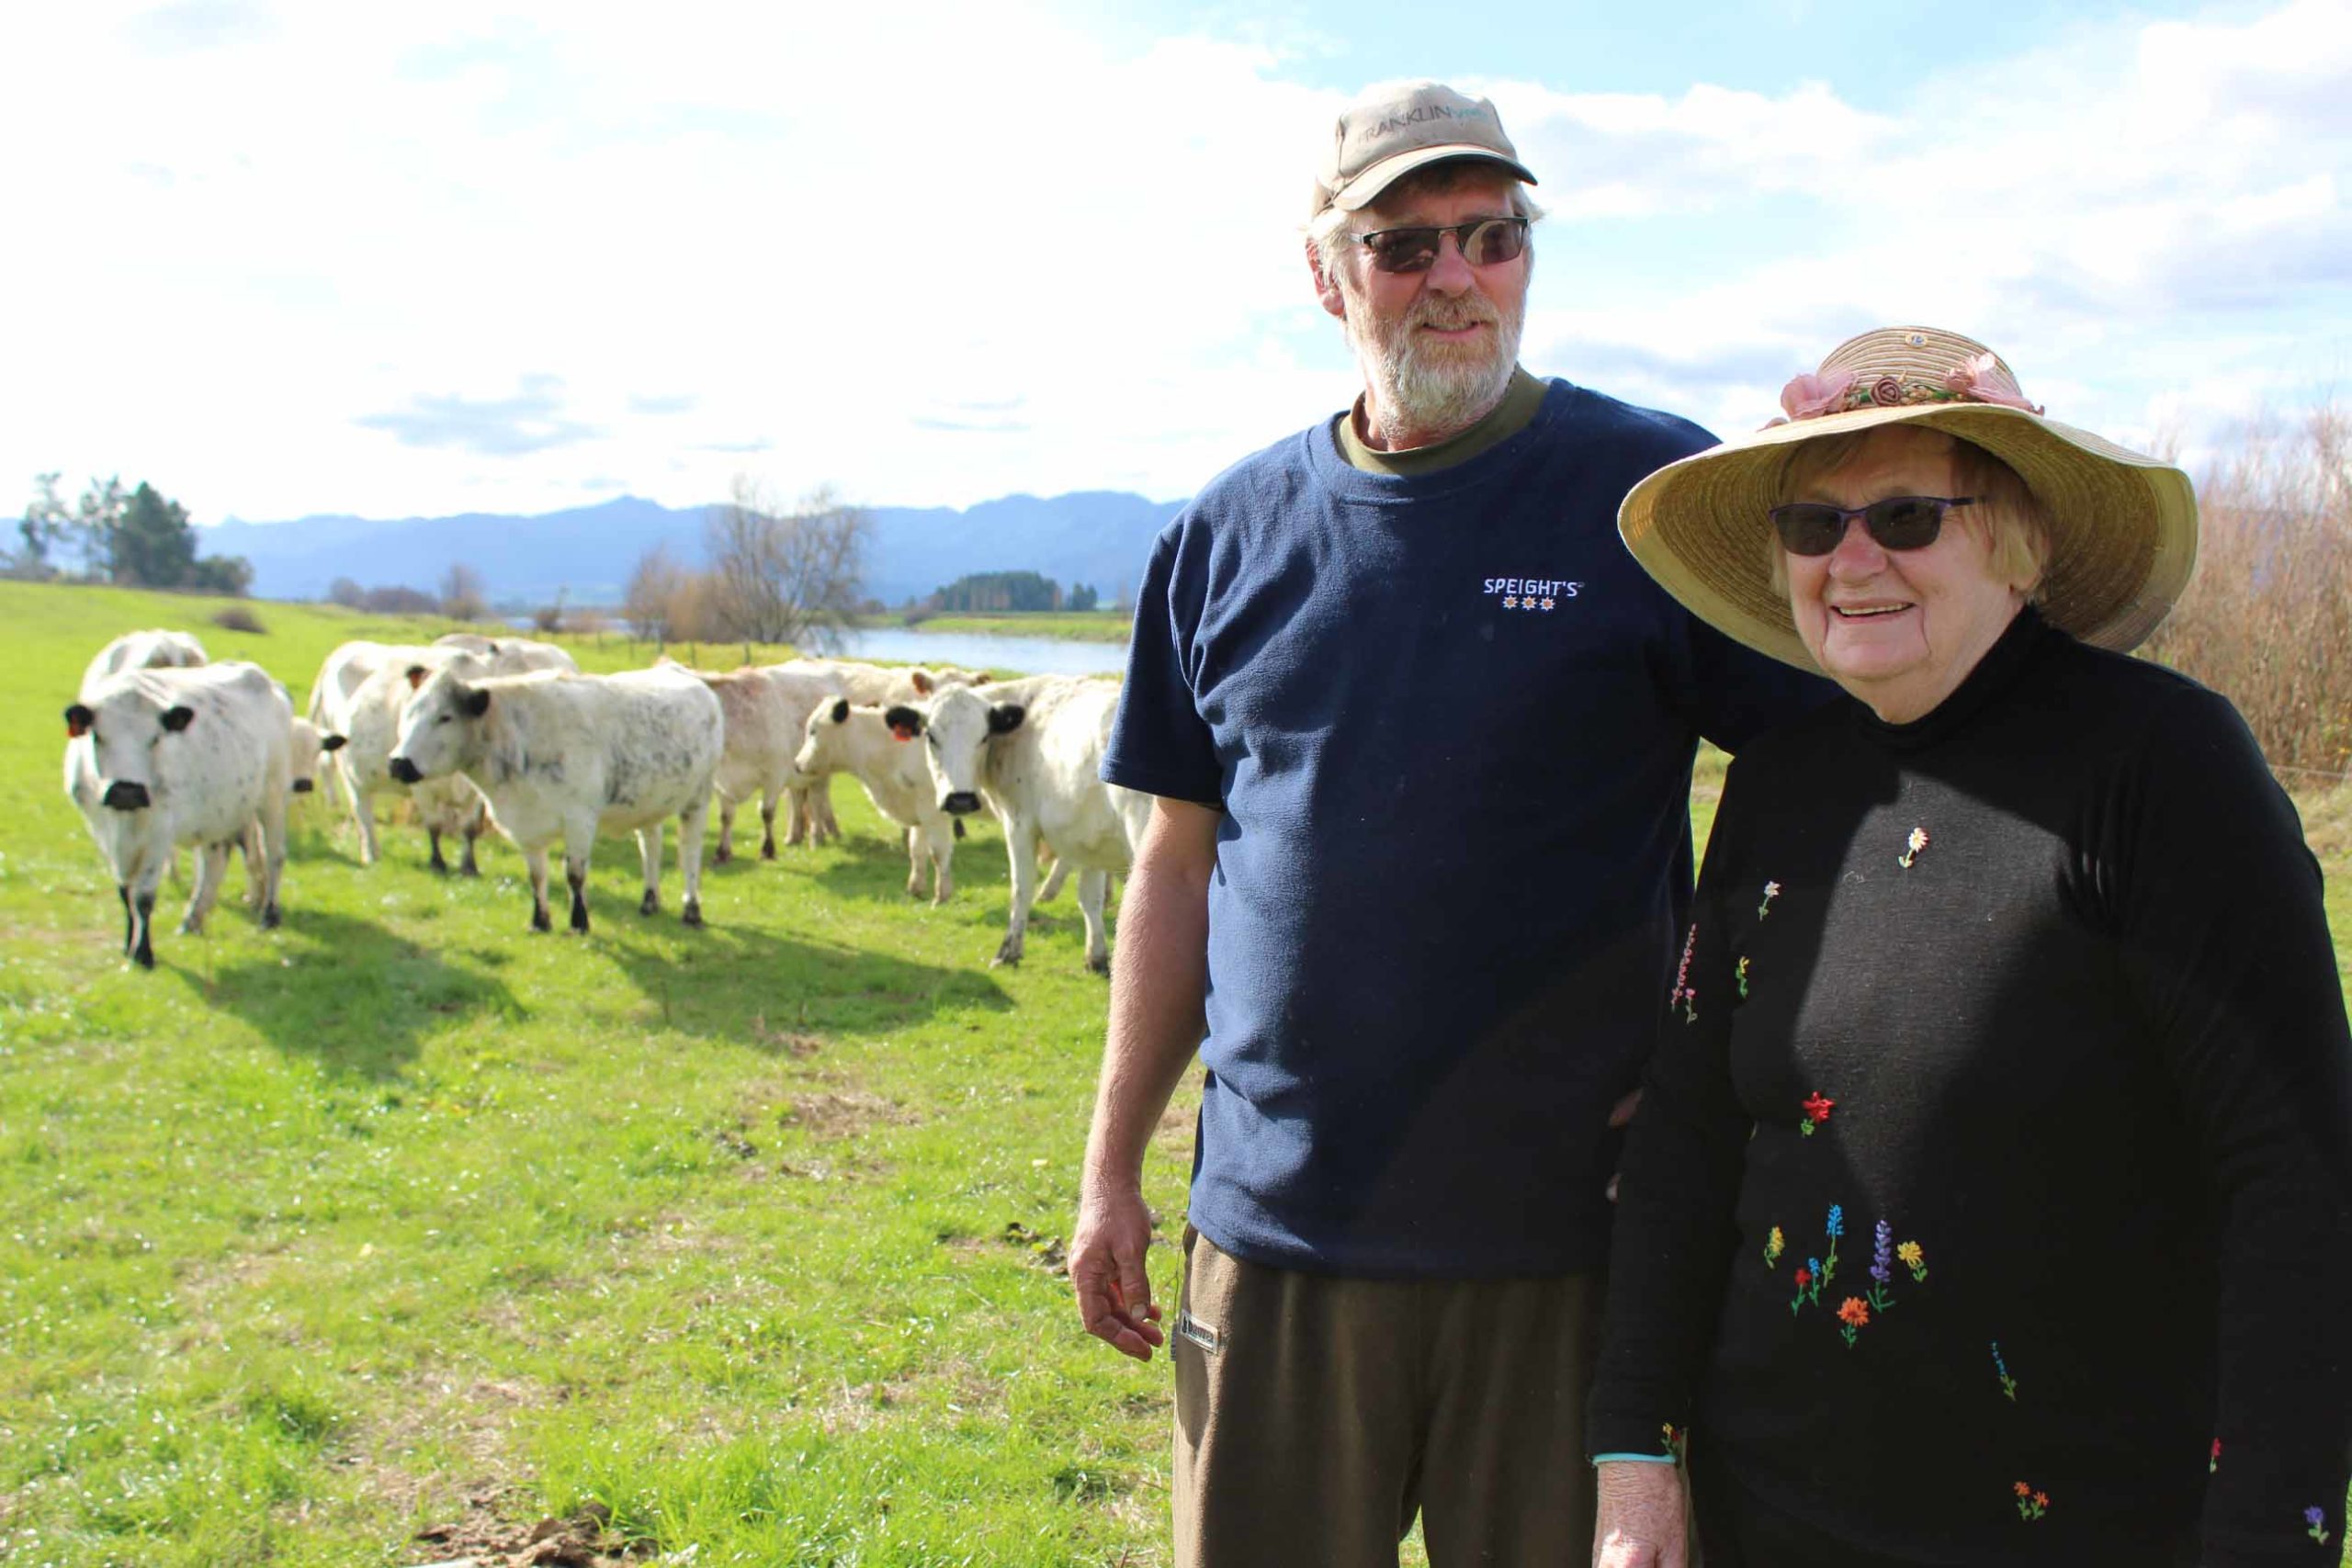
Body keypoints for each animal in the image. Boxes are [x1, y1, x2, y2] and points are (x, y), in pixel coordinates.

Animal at [61, 662, 294, 968]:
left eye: (155, 738)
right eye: (97, 736)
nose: (127, 791)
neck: (125, 820)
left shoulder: (159, 833)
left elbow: (143, 897)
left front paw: (143, 953)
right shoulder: (102, 832)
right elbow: (125, 892)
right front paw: (128, 944)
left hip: (272, 796)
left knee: (274, 855)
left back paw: (270, 914)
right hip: (218, 813)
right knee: (214, 862)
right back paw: (193, 918)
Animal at [795, 700, 959, 907]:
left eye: (813, 731)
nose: (797, 764)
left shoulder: (933, 812)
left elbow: (939, 853)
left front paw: (941, 897)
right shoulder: (918, 809)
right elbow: (916, 850)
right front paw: (915, 889)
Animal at [898, 682, 1148, 973]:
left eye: (983, 737)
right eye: (931, 736)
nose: (960, 799)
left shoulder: (1019, 822)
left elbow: (1022, 887)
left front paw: (1009, 952)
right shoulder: (1090, 838)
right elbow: (1090, 898)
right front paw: (1096, 959)